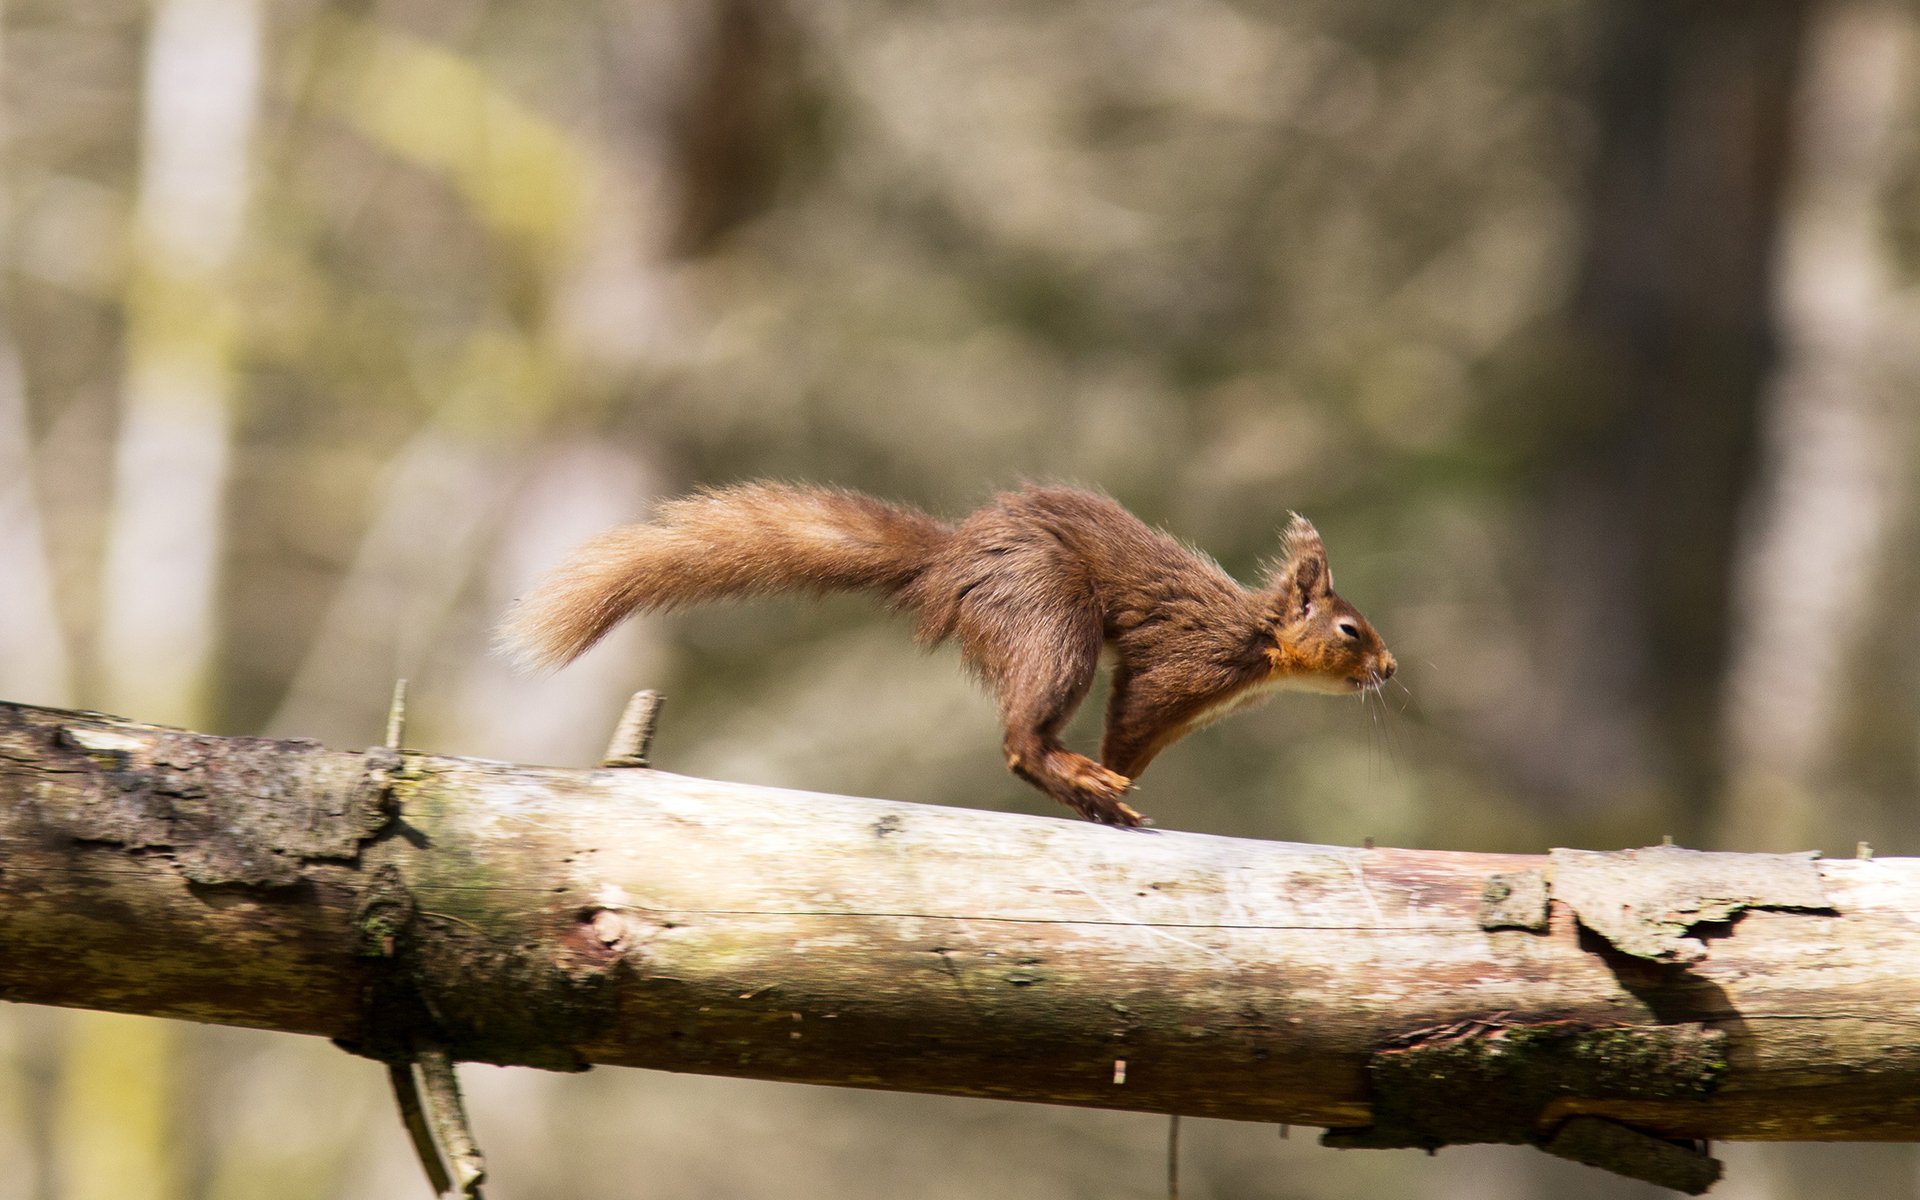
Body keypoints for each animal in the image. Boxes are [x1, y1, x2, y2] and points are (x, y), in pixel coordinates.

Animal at [500, 482, 1396, 827]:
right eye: (1351, 631)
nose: (1390, 670)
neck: (1260, 645)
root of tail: (949, 563)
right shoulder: (1185, 662)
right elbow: (1135, 715)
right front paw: (1117, 781)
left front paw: (1123, 787)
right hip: (1051, 623)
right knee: (1020, 741)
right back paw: (1082, 781)